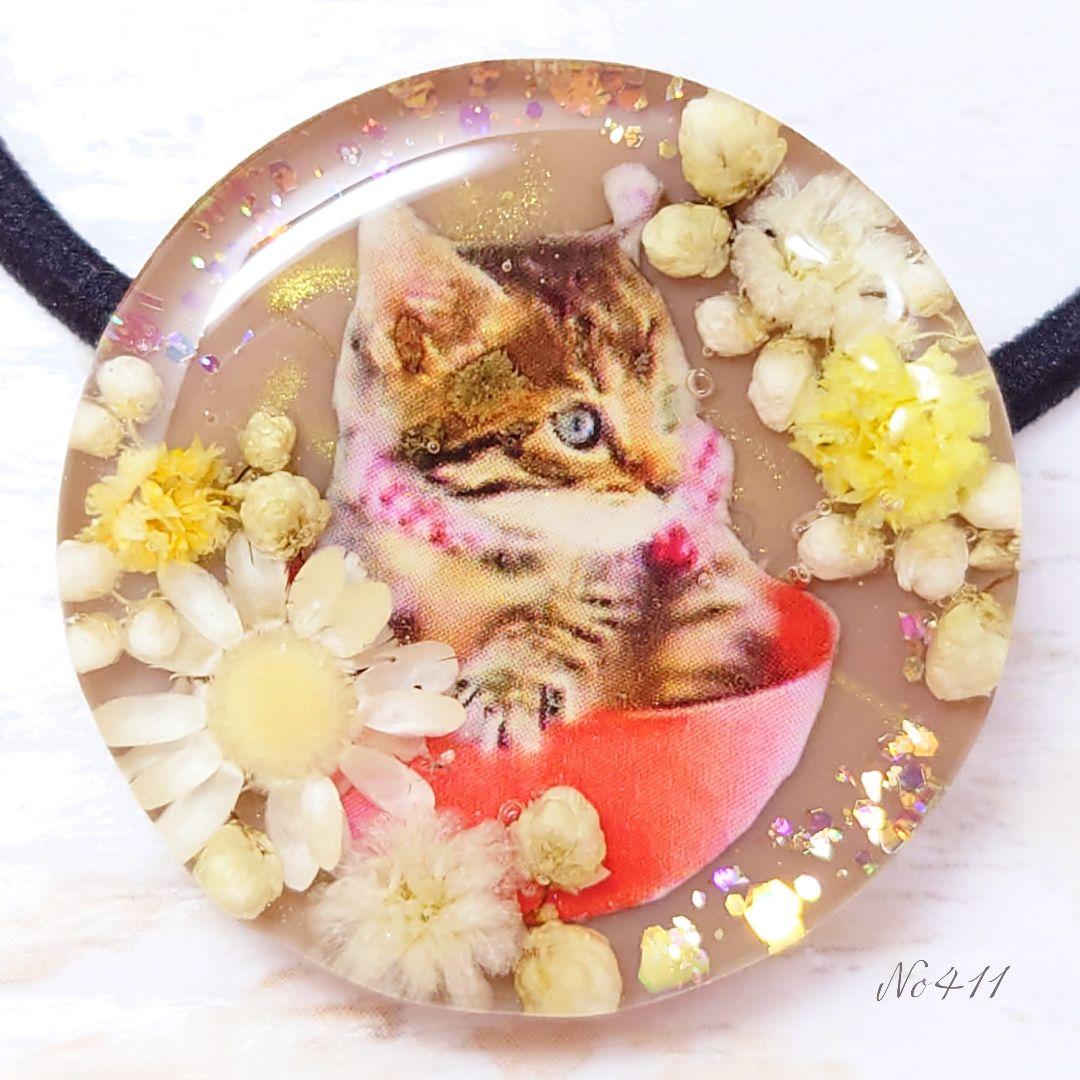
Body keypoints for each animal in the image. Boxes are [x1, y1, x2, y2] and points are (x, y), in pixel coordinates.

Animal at [327, 164, 785, 751]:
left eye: (667, 407)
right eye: (578, 427)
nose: (671, 486)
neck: (478, 546)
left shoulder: (657, 590)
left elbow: (586, 617)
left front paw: (508, 683)